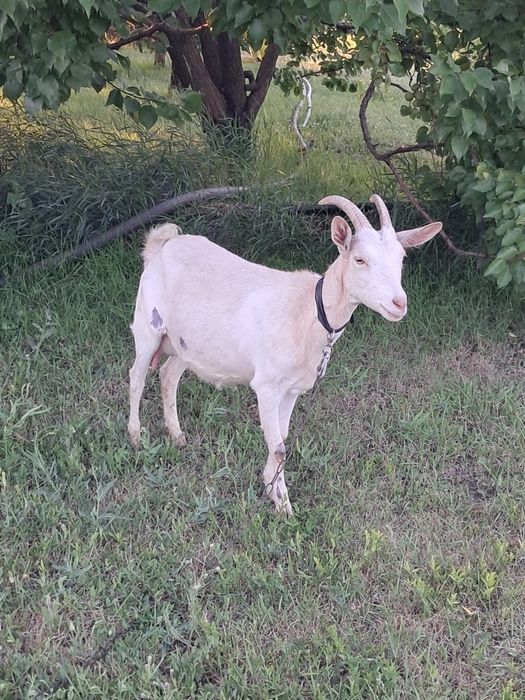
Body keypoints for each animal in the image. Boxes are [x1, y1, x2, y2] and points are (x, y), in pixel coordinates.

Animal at [128, 194, 442, 515]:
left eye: (401, 259)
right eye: (359, 259)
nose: (398, 303)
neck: (308, 310)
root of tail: (160, 244)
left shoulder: (292, 389)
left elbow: (284, 436)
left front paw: (272, 489)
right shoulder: (266, 386)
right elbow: (279, 447)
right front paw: (284, 504)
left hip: (185, 344)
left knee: (168, 375)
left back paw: (177, 436)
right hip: (148, 326)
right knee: (137, 375)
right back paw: (136, 437)